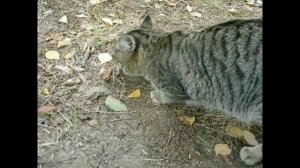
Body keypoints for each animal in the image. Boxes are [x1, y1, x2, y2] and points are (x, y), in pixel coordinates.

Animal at [110, 15, 262, 165]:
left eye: (113, 56)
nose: (111, 60)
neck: (155, 47)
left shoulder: (178, 89)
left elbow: (169, 96)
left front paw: (157, 95)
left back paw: (252, 154)